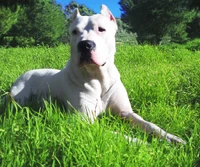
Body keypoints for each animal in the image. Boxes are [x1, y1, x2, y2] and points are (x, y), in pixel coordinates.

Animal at [9, 4, 186, 144]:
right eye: (74, 32)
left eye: (101, 29)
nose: (85, 45)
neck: (99, 78)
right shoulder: (85, 121)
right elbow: (120, 135)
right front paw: (145, 145)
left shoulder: (126, 112)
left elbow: (149, 124)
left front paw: (171, 138)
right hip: (19, 98)